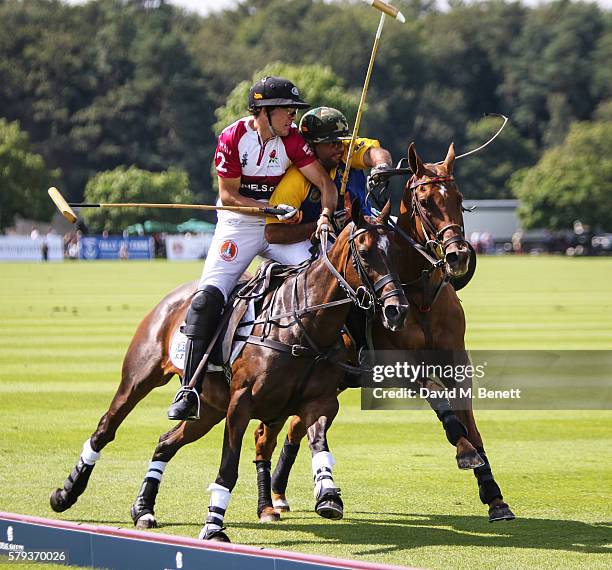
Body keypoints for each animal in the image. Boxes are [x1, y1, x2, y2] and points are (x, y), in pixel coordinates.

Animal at [256, 141, 512, 520]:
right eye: (425, 201)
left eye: (458, 196)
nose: (459, 256)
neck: (419, 295)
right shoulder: (396, 366)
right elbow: (446, 409)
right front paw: (465, 453)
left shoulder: (456, 363)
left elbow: (472, 424)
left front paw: (494, 496)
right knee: (266, 434)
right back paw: (271, 501)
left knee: (294, 428)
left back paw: (278, 490)